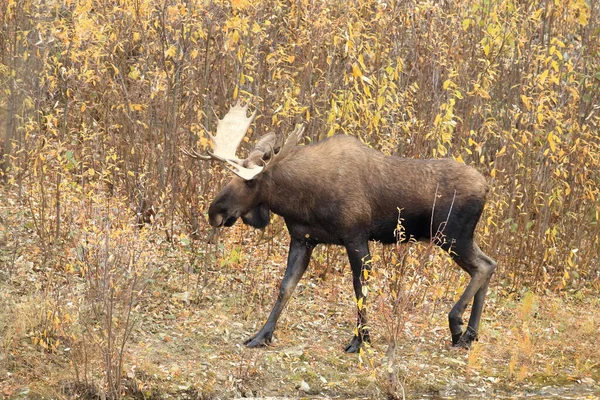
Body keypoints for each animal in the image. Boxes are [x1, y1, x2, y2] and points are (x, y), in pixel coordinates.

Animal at [188, 101, 496, 354]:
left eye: (251, 181)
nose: (215, 212)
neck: (301, 198)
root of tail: (486, 187)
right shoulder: (303, 239)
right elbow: (285, 287)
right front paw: (262, 335)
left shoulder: (355, 237)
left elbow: (360, 290)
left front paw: (361, 340)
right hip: (457, 238)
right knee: (489, 263)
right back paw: (470, 334)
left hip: (452, 235)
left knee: (483, 267)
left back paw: (457, 325)